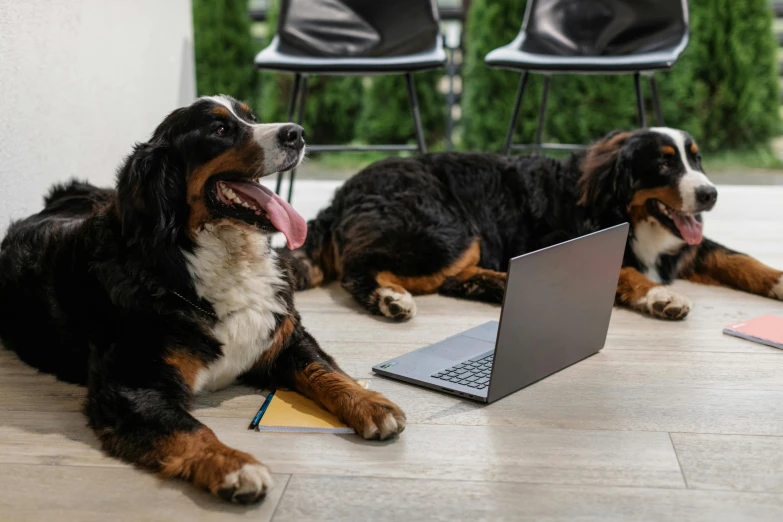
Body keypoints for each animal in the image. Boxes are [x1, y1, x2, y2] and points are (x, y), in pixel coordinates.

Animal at [0, 95, 408, 502]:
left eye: (251, 117)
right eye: (220, 129)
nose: (297, 133)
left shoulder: (283, 335)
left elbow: (324, 369)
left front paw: (371, 403)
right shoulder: (133, 384)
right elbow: (189, 428)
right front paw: (234, 465)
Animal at [288, 127, 783, 318]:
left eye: (695, 159)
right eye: (663, 164)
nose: (710, 194)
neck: (622, 210)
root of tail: (342, 194)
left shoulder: (690, 246)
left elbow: (741, 259)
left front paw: (778, 280)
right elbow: (625, 271)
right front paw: (660, 296)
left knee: (453, 280)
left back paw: (508, 286)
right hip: (447, 229)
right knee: (363, 269)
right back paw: (390, 298)